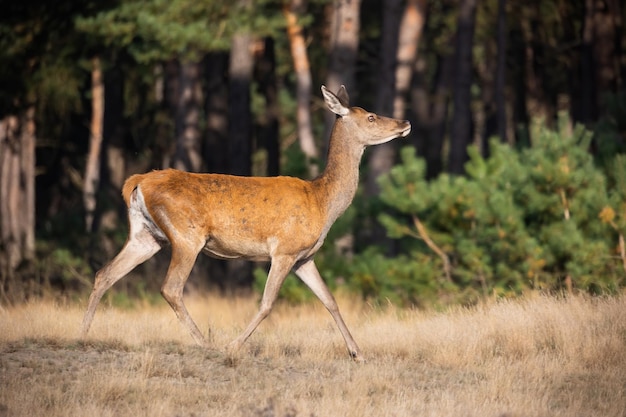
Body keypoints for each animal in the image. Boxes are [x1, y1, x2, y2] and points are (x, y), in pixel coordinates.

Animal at [79, 84, 410, 360]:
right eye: (370, 116)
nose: (404, 123)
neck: (322, 202)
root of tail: (137, 182)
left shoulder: (305, 257)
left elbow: (330, 300)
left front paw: (357, 353)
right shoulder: (285, 250)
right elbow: (267, 303)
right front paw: (233, 346)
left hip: (147, 235)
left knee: (104, 273)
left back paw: (83, 333)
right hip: (187, 235)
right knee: (170, 288)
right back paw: (205, 342)